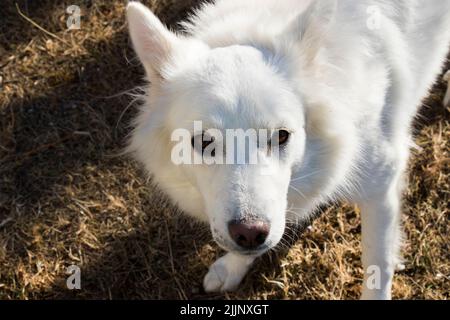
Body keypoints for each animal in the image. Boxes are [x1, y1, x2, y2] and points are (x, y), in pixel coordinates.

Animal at [125, 0, 450, 300]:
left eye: (281, 136)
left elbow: (377, 263)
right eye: (204, 142)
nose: (250, 233)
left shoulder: (381, 186)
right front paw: (233, 267)